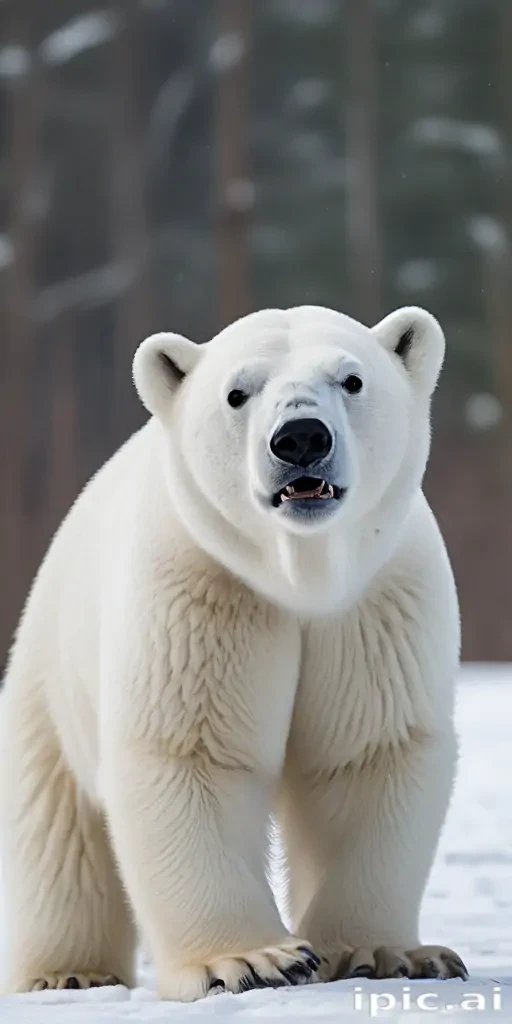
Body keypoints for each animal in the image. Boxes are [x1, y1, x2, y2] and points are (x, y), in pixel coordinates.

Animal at [0, 305, 468, 1000]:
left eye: (352, 379)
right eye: (237, 393)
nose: (300, 438)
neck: (297, 578)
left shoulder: (375, 606)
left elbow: (368, 754)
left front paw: (385, 953)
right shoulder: (203, 591)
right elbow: (192, 752)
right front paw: (249, 961)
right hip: (49, 681)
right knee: (55, 831)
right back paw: (69, 973)